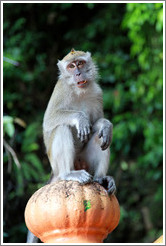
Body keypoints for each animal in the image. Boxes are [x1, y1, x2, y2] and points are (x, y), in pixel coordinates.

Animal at [26, 49, 116, 243]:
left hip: (84, 161)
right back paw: (69, 174)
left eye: (80, 63)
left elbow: (96, 124)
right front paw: (79, 118)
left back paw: (101, 178)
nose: (78, 74)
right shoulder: (61, 90)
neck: (79, 91)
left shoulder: (97, 92)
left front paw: (106, 125)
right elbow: (50, 121)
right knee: (62, 128)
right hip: (58, 165)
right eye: (71, 66)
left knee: (100, 138)